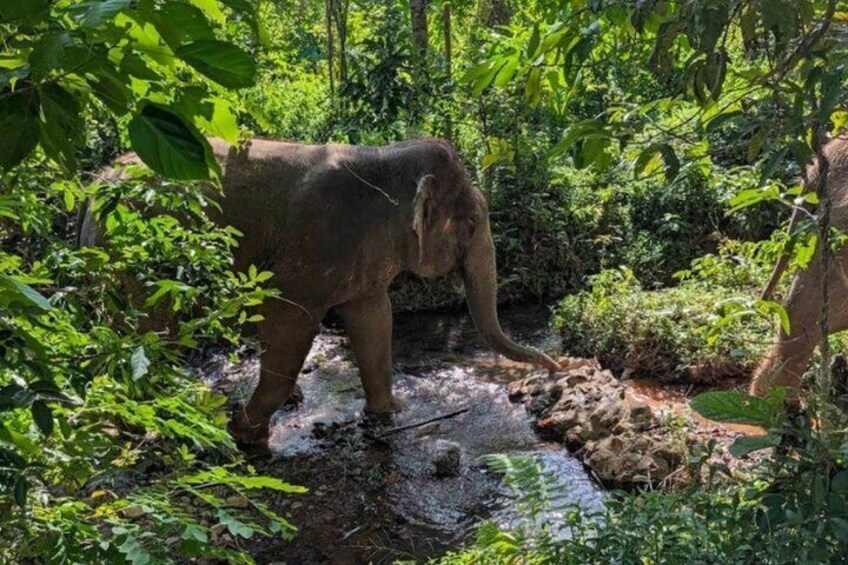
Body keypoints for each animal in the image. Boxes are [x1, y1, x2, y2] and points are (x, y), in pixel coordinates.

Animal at [80, 137, 561, 449]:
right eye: (472, 224)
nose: (556, 365)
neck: (384, 157)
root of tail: (95, 181)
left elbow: (375, 319)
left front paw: (392, 411)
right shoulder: (316, 244)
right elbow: (288, 322)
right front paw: (245, 432)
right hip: (134, 254)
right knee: (149, 332)